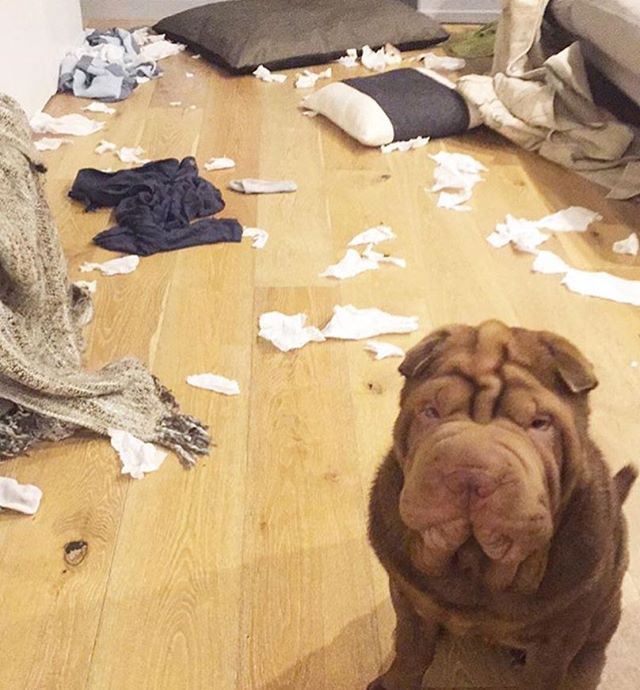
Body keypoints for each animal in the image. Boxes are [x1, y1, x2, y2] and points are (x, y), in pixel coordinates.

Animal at [368, 322, 636, 688]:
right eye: (431, 412)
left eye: (540, 423)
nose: (470, 472)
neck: (476, 564)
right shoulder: (409, 599)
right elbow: (411, 650)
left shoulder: (560, 636)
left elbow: (542, 676)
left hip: (606, 607)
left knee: (595, 645)